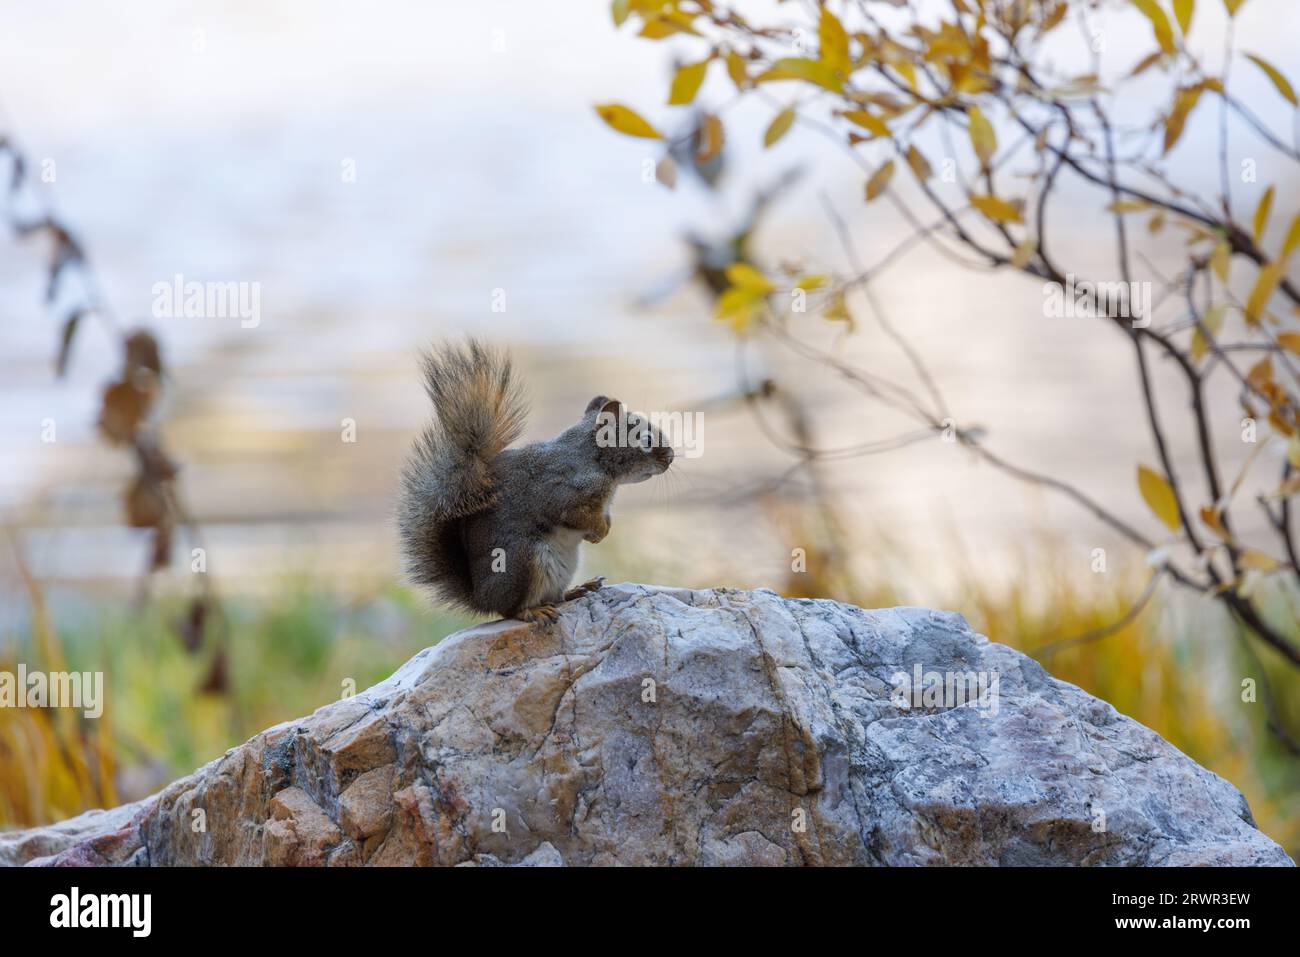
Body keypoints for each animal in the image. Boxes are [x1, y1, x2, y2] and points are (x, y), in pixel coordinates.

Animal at [397, 340, 676, 624]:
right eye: (646, 440)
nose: (671, 457)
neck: (596, 462)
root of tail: (482, 597)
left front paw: (603, 530)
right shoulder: (565, 492)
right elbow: (576, 515)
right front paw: (600, 531)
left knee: (556, 597)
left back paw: (578, 589)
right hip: (524, 561)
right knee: (511, 610)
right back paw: (533, 610)